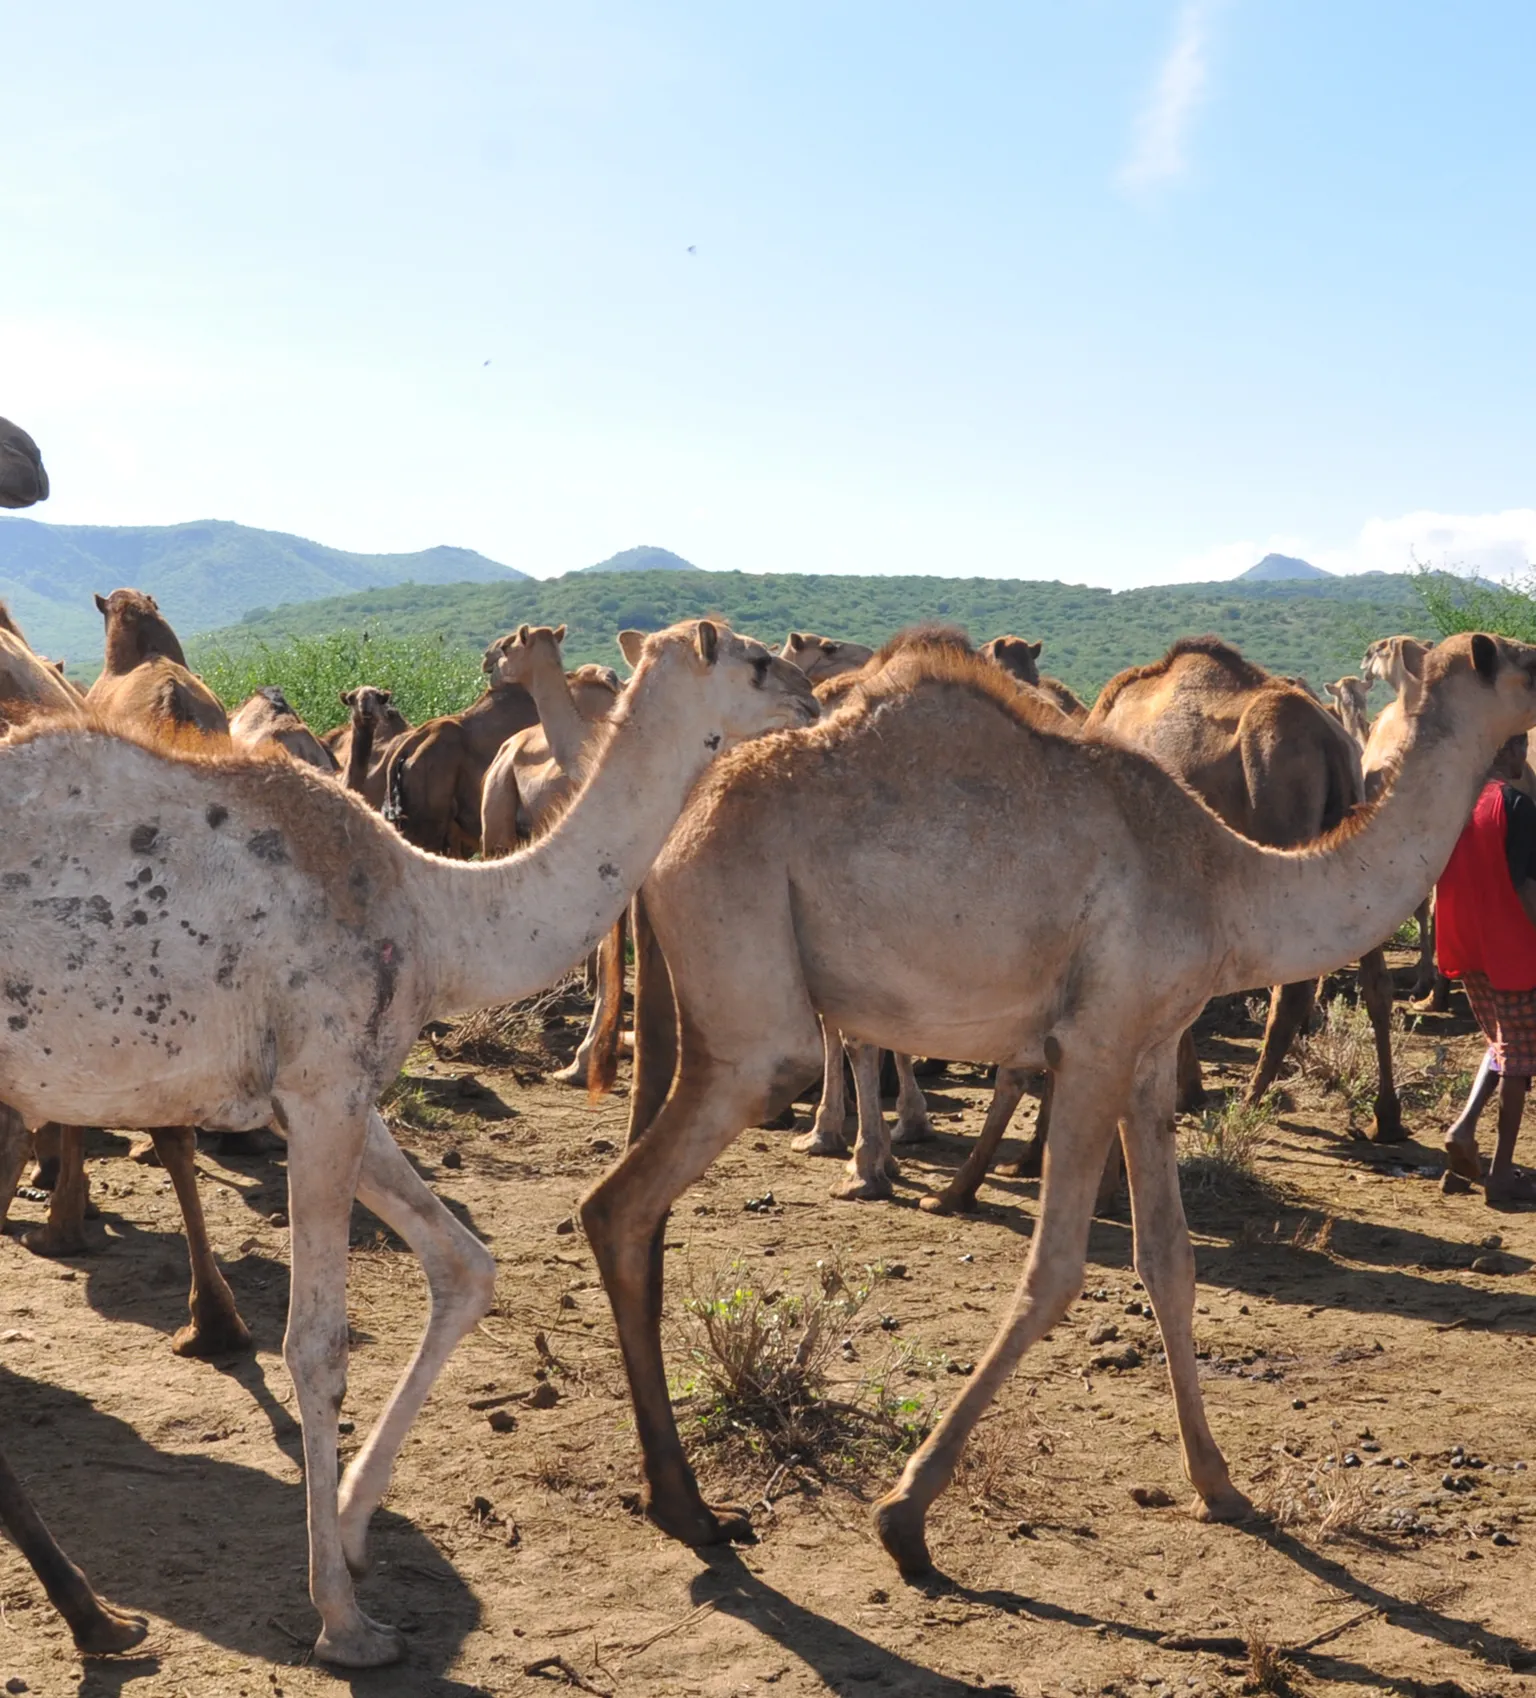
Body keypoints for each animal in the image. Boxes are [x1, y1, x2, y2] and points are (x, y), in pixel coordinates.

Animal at [0, 618, 814, 1664]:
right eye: (755, 659)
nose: (809, 694)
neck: (439, 914)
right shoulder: (323, 1091)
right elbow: (315, 1346)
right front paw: (343, 1620)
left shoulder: (330, 1095)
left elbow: (465, 1266)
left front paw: (350, 1527)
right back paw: (99, 1617)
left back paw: (98, 1615)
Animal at [577, 628, 1534, 1575]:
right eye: (1518, 661)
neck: (1230, 884)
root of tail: (670, 836)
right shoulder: (1094, 1045)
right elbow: (1055, 1272)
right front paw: (905, 1513)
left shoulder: (1147, 1055)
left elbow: (1170, 1264)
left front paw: (1219, 1485)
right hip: (753, 991)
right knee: (622, 1200)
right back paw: (690, 1507)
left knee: (637, 1201)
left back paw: (676, 1498)